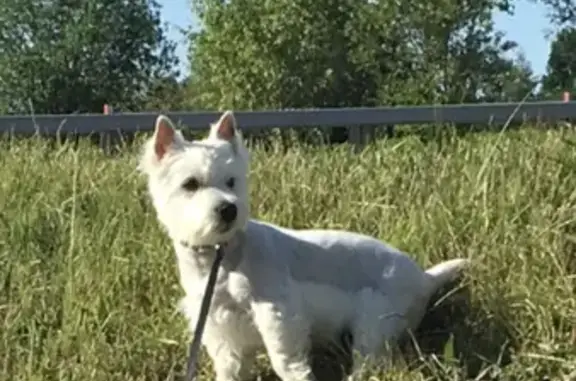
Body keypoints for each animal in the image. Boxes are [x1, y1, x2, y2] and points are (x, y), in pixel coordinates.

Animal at [140, 112, 468, 380]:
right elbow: (230, 366)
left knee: (370, 361)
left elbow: (284, 359)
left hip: (376, 323)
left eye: (231, 181)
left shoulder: (277, 312)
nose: (228, 209)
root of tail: (425, 277)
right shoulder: (219, 325)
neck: (221, 258)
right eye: (190, 184)